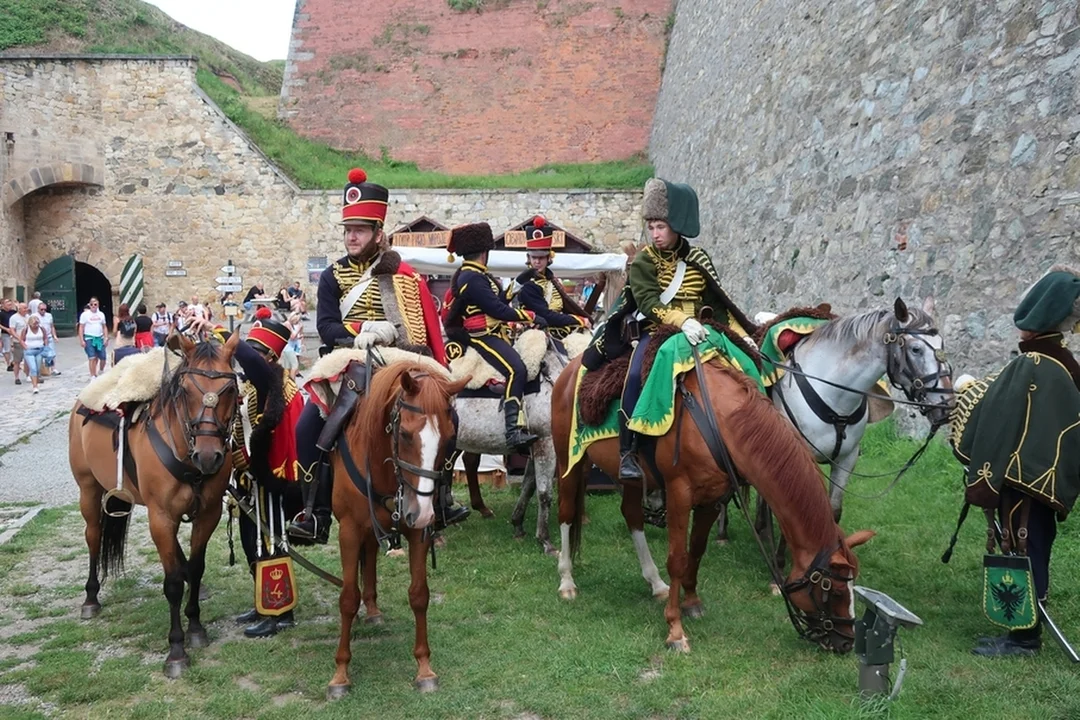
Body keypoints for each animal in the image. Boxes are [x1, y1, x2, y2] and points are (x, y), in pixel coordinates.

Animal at [68, 334, 239, 677]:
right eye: (185, 390)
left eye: (229, 390)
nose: (208, 456)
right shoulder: (161, 517)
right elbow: (171, 584)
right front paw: (176, 650)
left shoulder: (207, 514)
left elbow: (197, 568)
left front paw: (196, 626)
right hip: (89, 490)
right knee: (93, 536)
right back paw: (91, 598)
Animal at [324, 362, 468, 699]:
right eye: (404, 434)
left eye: (449, 438)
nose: (424, 512)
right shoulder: (349, 531)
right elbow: (347, 598)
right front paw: (340, 674)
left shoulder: (418, 532)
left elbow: (419, 594)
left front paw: (424, 668)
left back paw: (373, 608)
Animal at [552, 351, 872, 656]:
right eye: (835, 590)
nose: (846, 643)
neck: (719, 421)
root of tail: (568, 371)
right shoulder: (679, 494)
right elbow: (677, 559)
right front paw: (675, 629)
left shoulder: (712, 498)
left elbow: (696, 550)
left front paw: (692, 601)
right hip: (569, 462)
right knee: (566, 513)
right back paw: (567, 580)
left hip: (629, 480)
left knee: (632, 516)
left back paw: (655, 583)